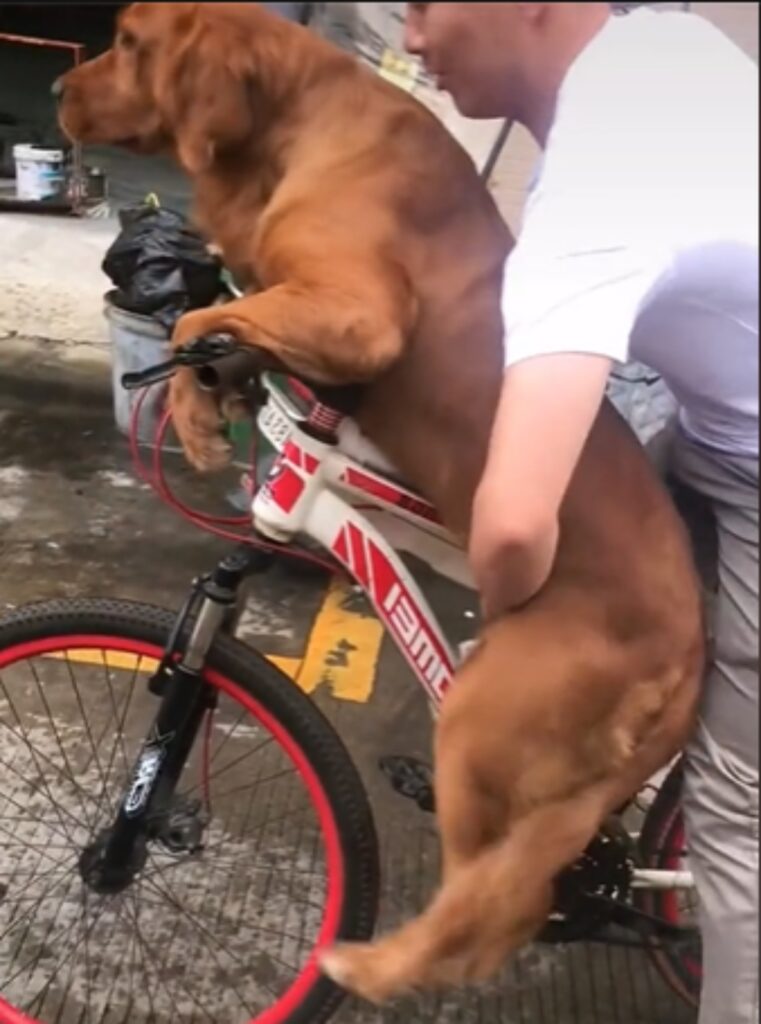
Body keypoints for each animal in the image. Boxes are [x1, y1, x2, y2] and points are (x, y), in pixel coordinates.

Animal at [56, 4, 704, 1003]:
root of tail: (691, 647)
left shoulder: (358, 318)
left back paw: (382, 963)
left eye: (128, 42)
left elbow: (195, 318)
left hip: (483, 717)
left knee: (500, 902)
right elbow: (215, 326)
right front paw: (204, 406)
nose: (55, 87)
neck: (293, 124)